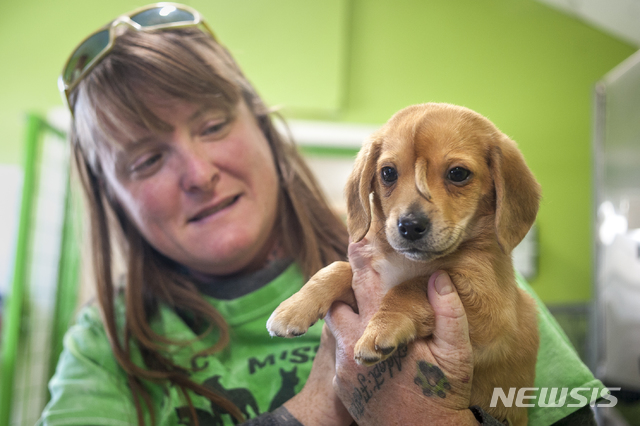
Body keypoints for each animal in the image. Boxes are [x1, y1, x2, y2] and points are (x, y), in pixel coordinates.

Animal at [264, 104, 540, 426]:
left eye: (458, 173)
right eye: (388, 173)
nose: (409, 226)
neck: (406, 262)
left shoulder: (490, 311)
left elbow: (411, 288)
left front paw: (382, 327)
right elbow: (337, 268)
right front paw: (294, 307)